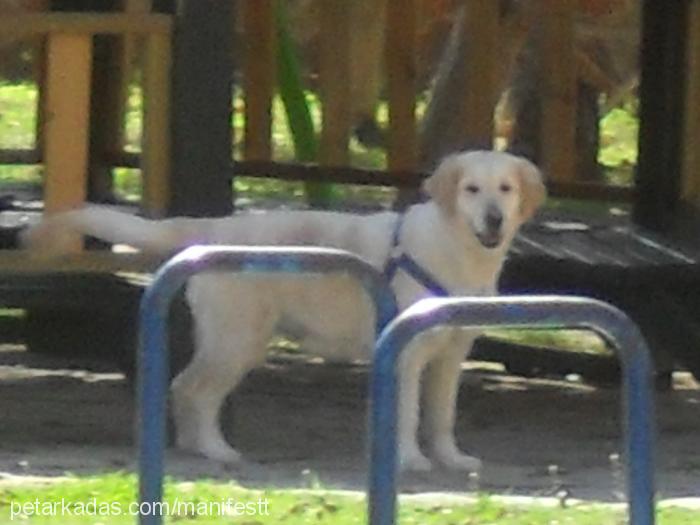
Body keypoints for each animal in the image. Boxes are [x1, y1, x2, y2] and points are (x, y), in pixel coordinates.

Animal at [21, 150, 548, 470]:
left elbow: (441, 415)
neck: (460, 251)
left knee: (193, 391)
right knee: (190, 388)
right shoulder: (407, 356)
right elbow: (407, 413)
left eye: (505, 189)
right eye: (471, 190)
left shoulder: (451, 356)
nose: (494, 219)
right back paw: (215, 450)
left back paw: (202, 448)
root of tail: (214, 230)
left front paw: (451, 459)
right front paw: (409, 461)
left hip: (241, 342)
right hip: (238, 340)